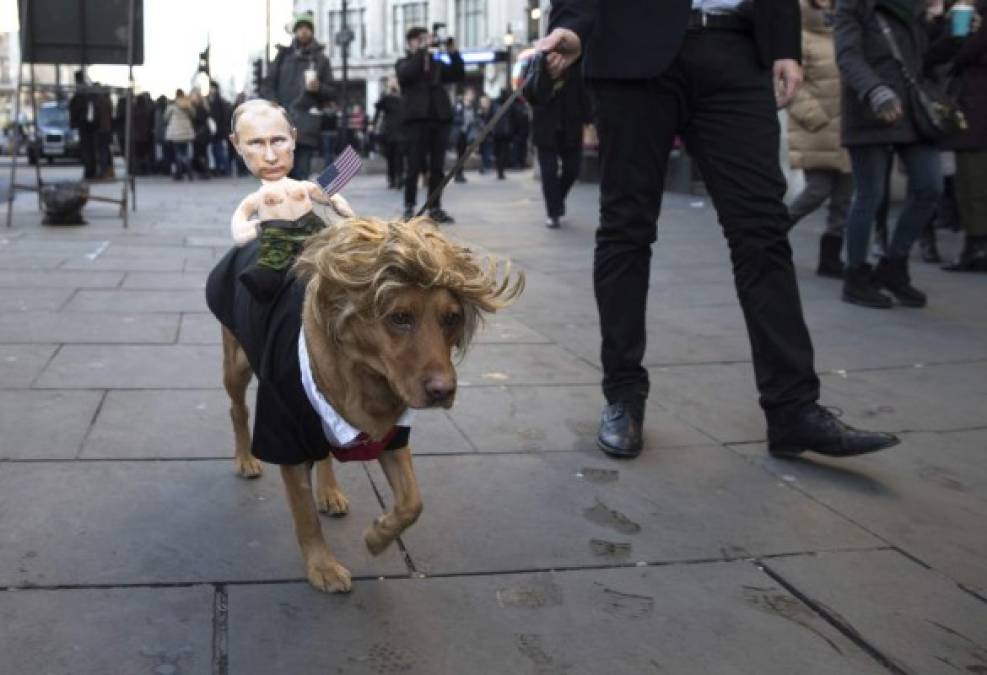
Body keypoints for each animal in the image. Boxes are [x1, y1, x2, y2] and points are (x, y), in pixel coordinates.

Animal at [205, 215, 520, 592]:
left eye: (452, 318)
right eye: (399, 317)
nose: (444, 391)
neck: (365, 376)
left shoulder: (392, 435)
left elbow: (412, 502)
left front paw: (378, 537)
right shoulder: (287, 435)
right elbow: (305, 516)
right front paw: (323, 567)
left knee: (322, 454)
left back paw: (329, 491)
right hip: (237, 365)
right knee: (237, 410)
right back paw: (245, 459)